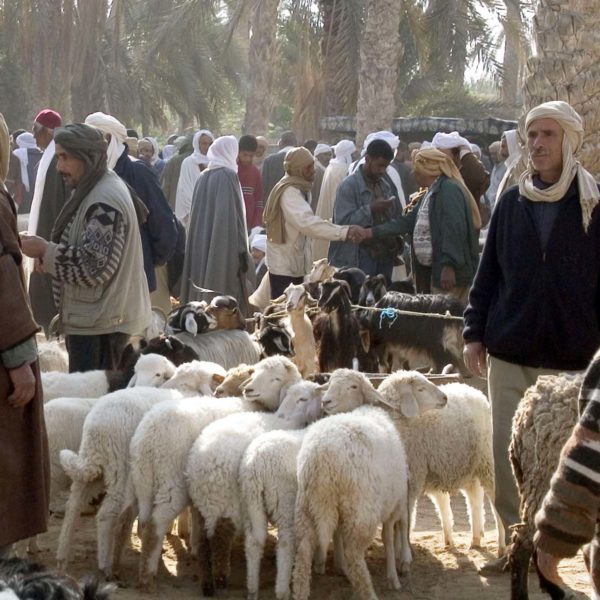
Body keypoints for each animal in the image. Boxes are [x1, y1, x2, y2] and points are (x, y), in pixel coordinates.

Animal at [240, 380, 326, 600]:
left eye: (302, 398)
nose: (279, 416)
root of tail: (255, 464)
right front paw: (319, 563)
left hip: (251, 502)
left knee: (253, 542)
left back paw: (252, 588)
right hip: (284, 501)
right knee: (286, 543)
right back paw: (282, 590)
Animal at [292, 404, 412, 600]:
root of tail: (321, 459)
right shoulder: (393, 505)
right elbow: (389, 537)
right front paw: (394, 578)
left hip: (307, 506)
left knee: (303, 552)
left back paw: (300, 592)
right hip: (360, 511)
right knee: (354, 557)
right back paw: (368, 592)